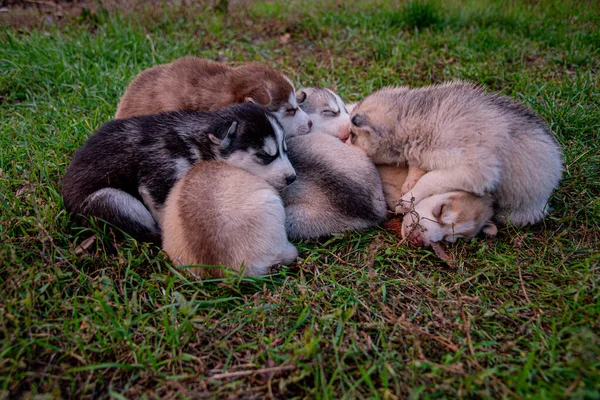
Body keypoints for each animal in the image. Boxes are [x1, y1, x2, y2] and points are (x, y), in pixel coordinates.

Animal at [61, 101, 296, 242]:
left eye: (285, 149)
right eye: (266, 155)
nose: (293, 178)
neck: (196, 144)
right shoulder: (158, 177)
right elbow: (165, 210)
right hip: (113, 200)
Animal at [350, 79, 564, 227]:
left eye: (352, 136)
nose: (344, 138)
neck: (419, 119)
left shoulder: (476, 170)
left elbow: (432, 179)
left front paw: (408, 198)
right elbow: (418, 166)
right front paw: (410, 181)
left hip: (523, 207)